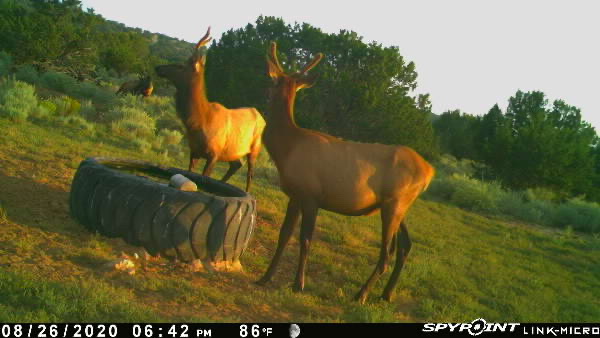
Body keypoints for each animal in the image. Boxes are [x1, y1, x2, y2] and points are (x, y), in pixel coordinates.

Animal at [155, 27, 264, 191]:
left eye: (181, 66)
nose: (158, 67)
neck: (198, 122)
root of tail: (263, 118)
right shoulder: (194, 151)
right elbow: (190, 172)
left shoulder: (214, 154)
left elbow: (204, 178)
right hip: (233, 150)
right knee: (237, 164)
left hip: (255, 147)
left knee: (250, 173)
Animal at [258, 42, 436, 304]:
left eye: (271, 84)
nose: (264, 94)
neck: (288, 148)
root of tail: (430, 172)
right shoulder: (295, 194)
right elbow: (284, 235)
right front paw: (265, 277)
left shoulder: (311, 194)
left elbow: (305, 239)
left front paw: (298, 285)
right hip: (400, 204)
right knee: (405, 245)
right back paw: (386, 294)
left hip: (395, 202)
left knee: (386, 253)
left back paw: (361, 295)